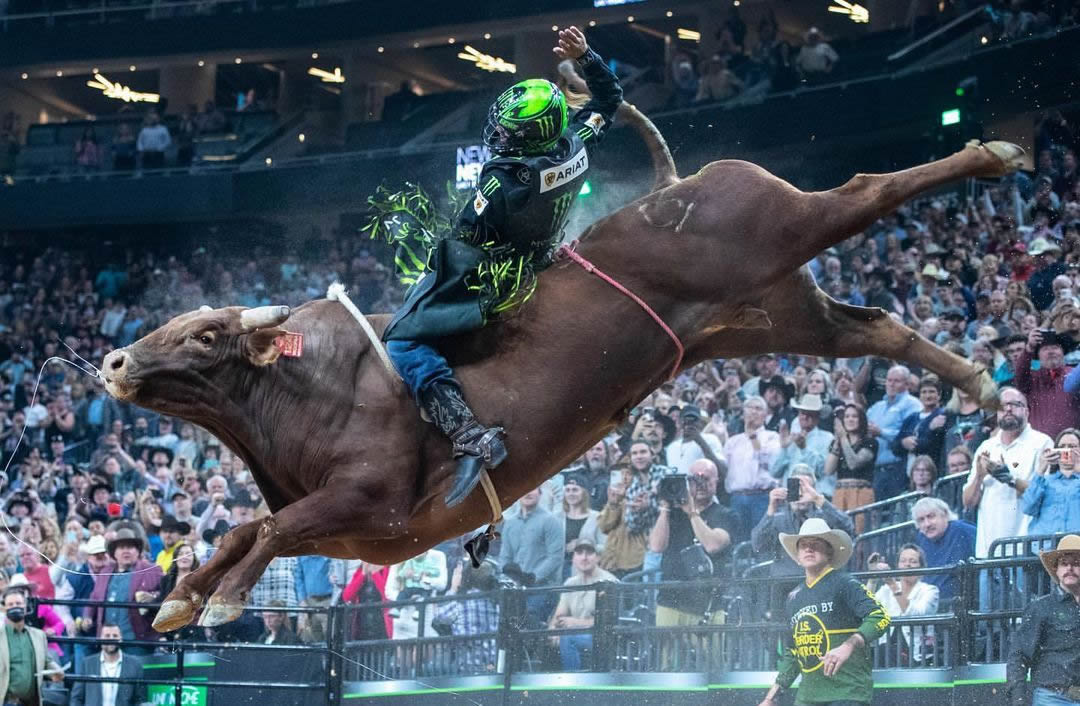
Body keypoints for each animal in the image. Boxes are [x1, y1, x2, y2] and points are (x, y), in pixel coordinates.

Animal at [97, 103, 1015, 630]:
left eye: (205, 335)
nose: (112, 360)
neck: (311, 391)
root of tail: (674, 186)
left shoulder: (373, 506)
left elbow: (270, 528)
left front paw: (219, 598)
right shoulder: (352, 526)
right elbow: (247, 528)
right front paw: (183, 597)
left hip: (781, 226)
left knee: (866, 189)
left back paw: (993, 154)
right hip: (772, 313)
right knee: (876, 328)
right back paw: (974, 378)